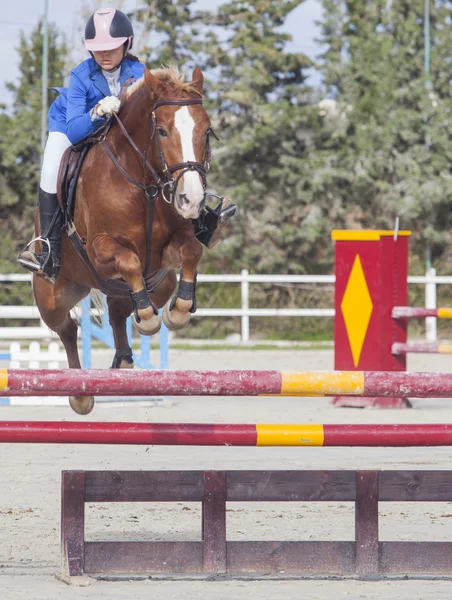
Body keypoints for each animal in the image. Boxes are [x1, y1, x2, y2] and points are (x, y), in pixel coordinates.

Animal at [33, 65, 214, 412]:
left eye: (207, 130)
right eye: (163, 132)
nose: (191, 200)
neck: (143, 184)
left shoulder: (170, 248)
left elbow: (190, 251)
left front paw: (178, 311)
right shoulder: (100, 248)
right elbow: (129, 260)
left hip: (157, 285)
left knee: (119, 310)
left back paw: (127, 355)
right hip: (51, 297)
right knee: (67, 329)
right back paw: (79, 392)